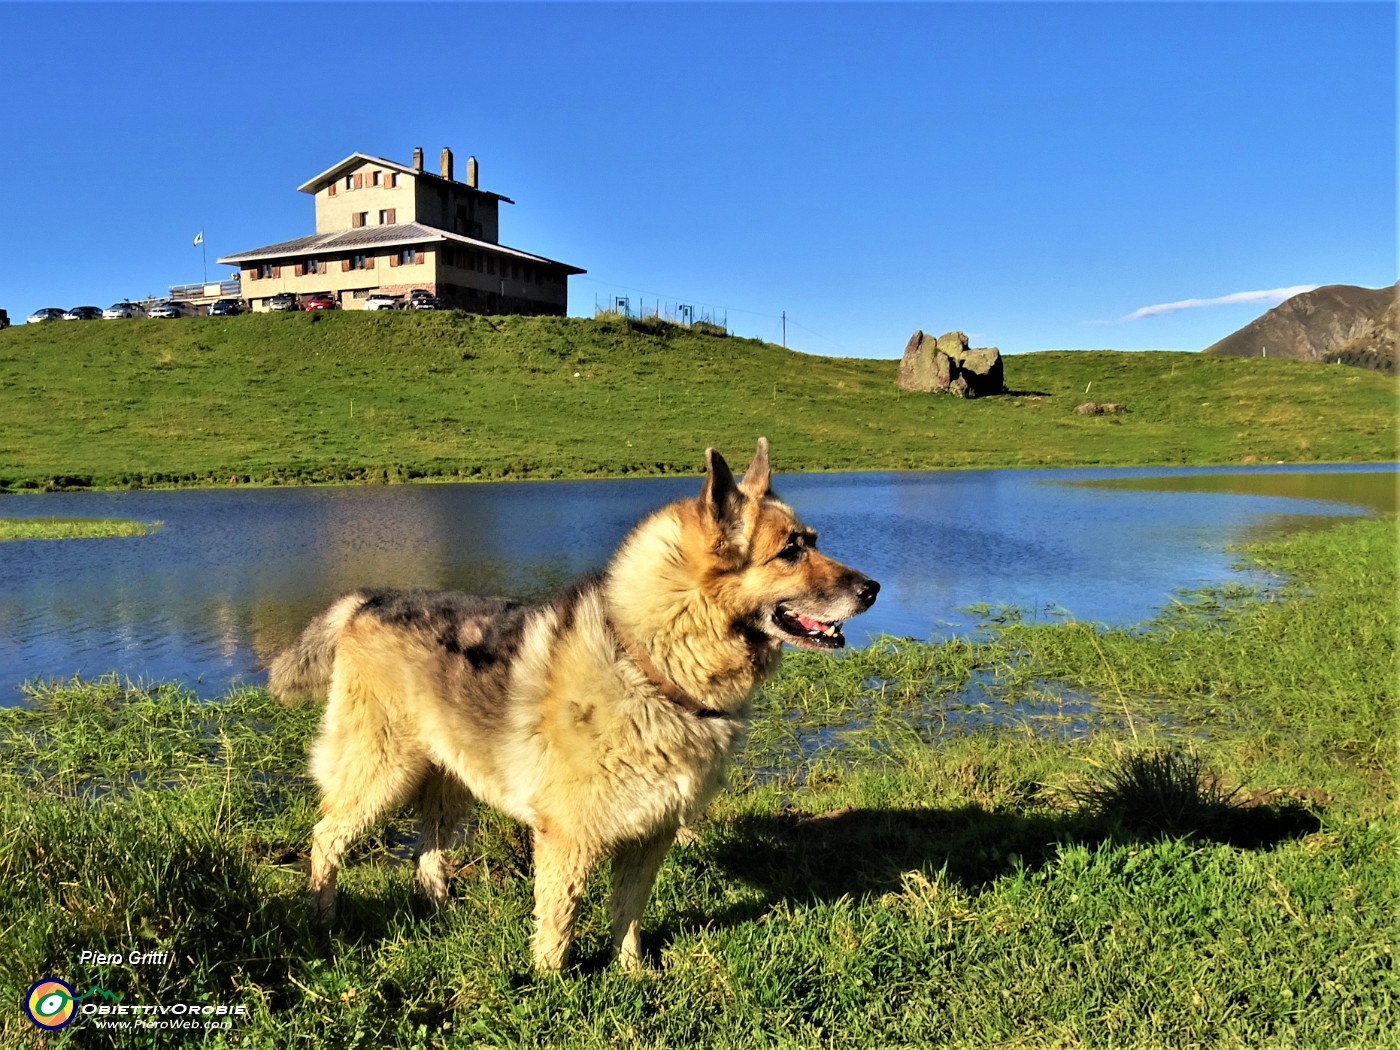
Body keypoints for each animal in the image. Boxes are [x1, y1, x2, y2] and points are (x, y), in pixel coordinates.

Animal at [268, 436, 879, 968]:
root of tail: (366, 601)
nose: (872, 589)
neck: (650, 664)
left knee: (428, 849)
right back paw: (324, 918)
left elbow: (627, 913)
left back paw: (442, 913)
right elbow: (559, 921)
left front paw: (632, 975)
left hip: (449, 779)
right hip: (380, 773)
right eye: (790, 551)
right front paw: (550, 988)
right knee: (325, 839)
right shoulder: (567, 837)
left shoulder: (650, 836)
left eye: (813, 540)